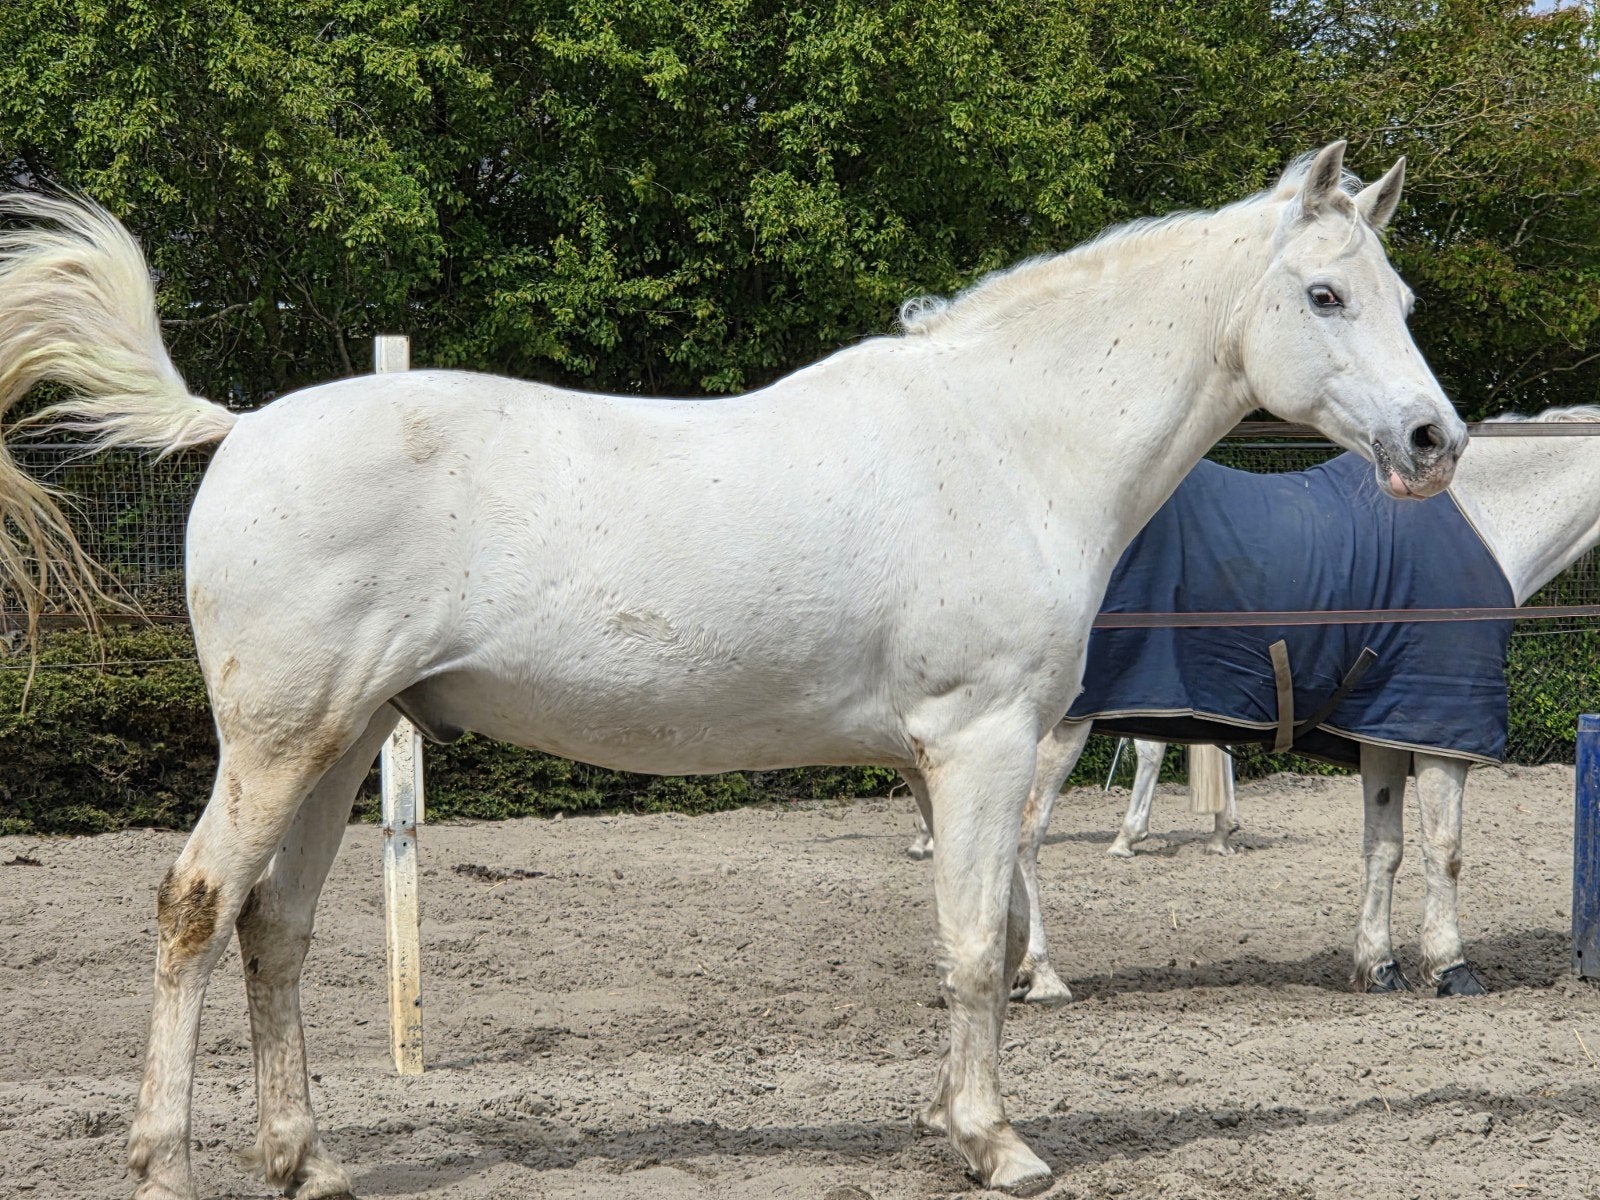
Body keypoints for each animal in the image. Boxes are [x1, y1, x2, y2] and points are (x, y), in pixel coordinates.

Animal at [0, 142, 1462, 1199]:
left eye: (1399, 298)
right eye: (1323, 295)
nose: (1432, 441)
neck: (1006, 438)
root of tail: (239, 429)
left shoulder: (947, 761)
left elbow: (971, 942)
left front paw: (956, 1124)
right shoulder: (984, 743)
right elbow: (975, 946)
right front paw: (1000, 1147)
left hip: (346, 742)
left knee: (276, 928)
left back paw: (307, 1162)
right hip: (281, 741)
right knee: (195, 907)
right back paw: (163, 1164)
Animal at [931, 409, 1598, 1009]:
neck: (1488, 520)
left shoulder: (1385, 727)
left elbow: (1383, 847)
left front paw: (1379, 966)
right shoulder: (1439, 730)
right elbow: (1446, 849)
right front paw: (1451, 968)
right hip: (1054, 726)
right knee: (1021, 837)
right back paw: (1042, 976)